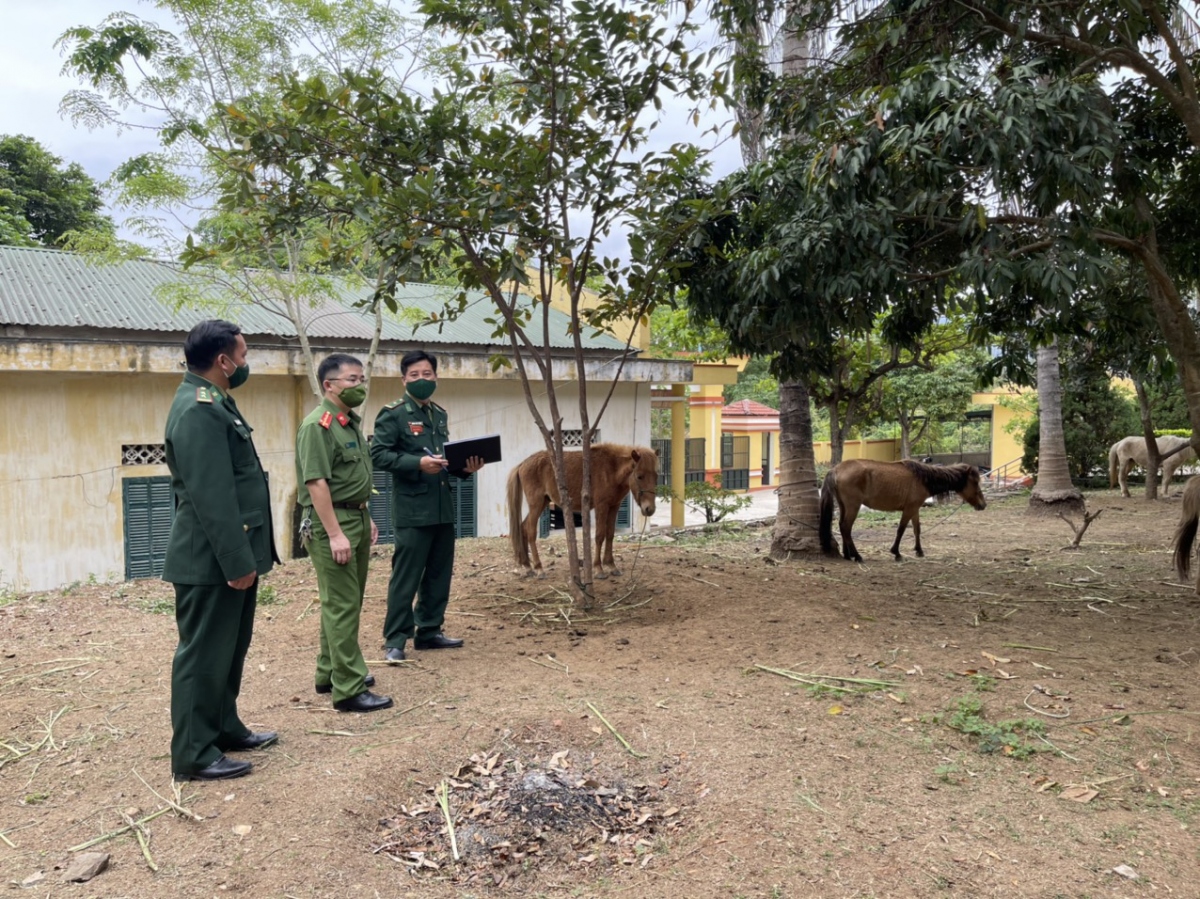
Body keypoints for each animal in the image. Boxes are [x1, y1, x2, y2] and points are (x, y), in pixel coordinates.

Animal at [504, 444, 662, 583]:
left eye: (656, 476)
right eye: (640, 476)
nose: (650, 509)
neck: (611, 469)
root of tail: (523, 464)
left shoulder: (614, 507)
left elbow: (610, 535)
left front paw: (611, 565)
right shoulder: (601, 506)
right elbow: (599, 536)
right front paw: (599, 568)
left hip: (543, 502)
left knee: (523, 528)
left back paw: (527, 566)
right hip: (536, 504)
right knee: (530, 531)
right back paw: (539, 569)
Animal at [820, 456, 988, 561]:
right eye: (975, 482)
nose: (983, 505)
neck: (922, 478)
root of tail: (836, 469)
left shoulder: (915, 509)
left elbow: (917, 529)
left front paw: (919, 551)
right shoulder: (909, 509)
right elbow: (901, 530)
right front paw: (896, 552)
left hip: (844, 506)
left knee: (842, 527)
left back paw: (848, 555)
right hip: (853, 506)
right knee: (846, 527)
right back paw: (857, 556)